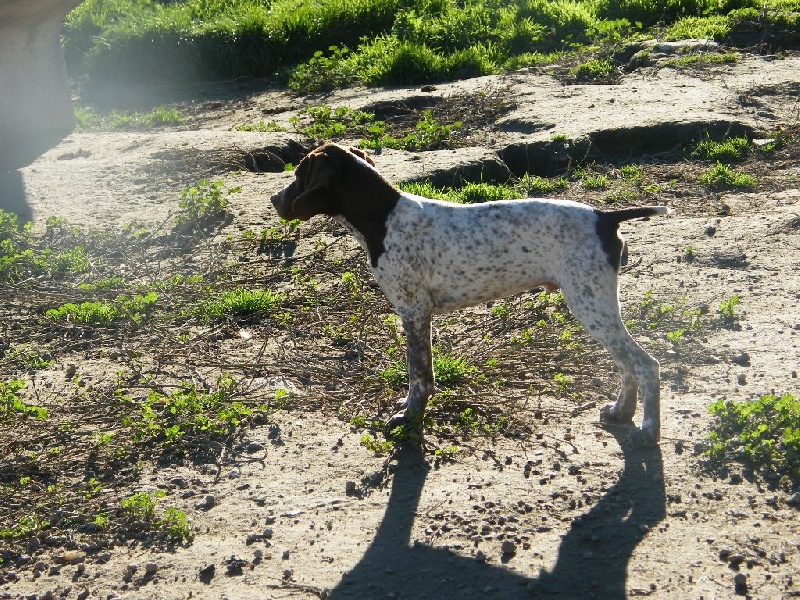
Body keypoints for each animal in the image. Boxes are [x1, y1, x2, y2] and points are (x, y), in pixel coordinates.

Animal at [272, 144, 664, 446]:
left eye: (300, 174)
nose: (274, 199)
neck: (382, 217)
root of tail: (604, 216)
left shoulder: (414, 310)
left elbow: (418, 374)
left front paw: (410, 415)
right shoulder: (418, 313)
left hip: (590, 303)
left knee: (645, 364)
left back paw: (647, 431)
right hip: (596, 304)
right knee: (627, 363)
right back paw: (621, 412)